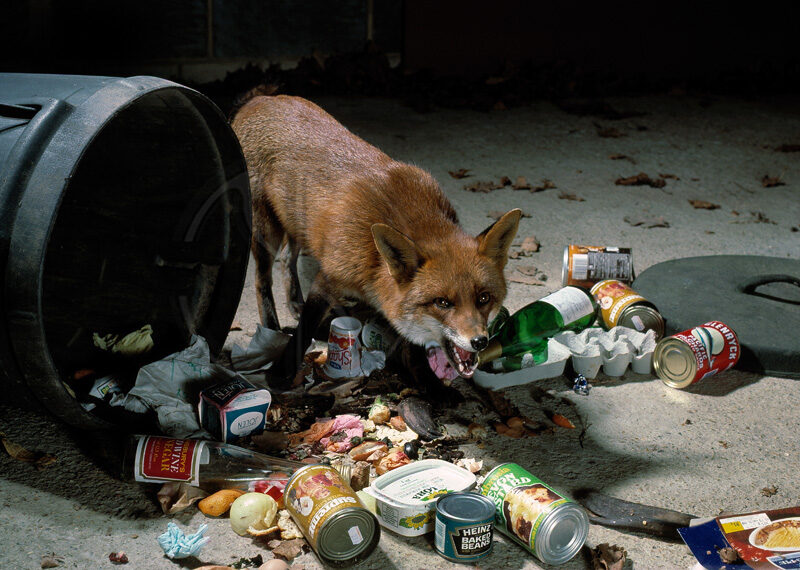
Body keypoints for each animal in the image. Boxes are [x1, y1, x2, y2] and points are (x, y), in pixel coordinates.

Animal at [231, 95, 521, 383]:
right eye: (442, 302)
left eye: (483, 298)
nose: (479, 342)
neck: (374, 264)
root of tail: (260, 99)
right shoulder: (328, 279)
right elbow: (306, 325)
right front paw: (279, 374)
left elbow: (413, 352)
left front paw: (434, 388)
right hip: (265, 231)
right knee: (262, 279)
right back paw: (272, 328)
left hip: (297, 226)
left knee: (286, 260)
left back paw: (294, 304)